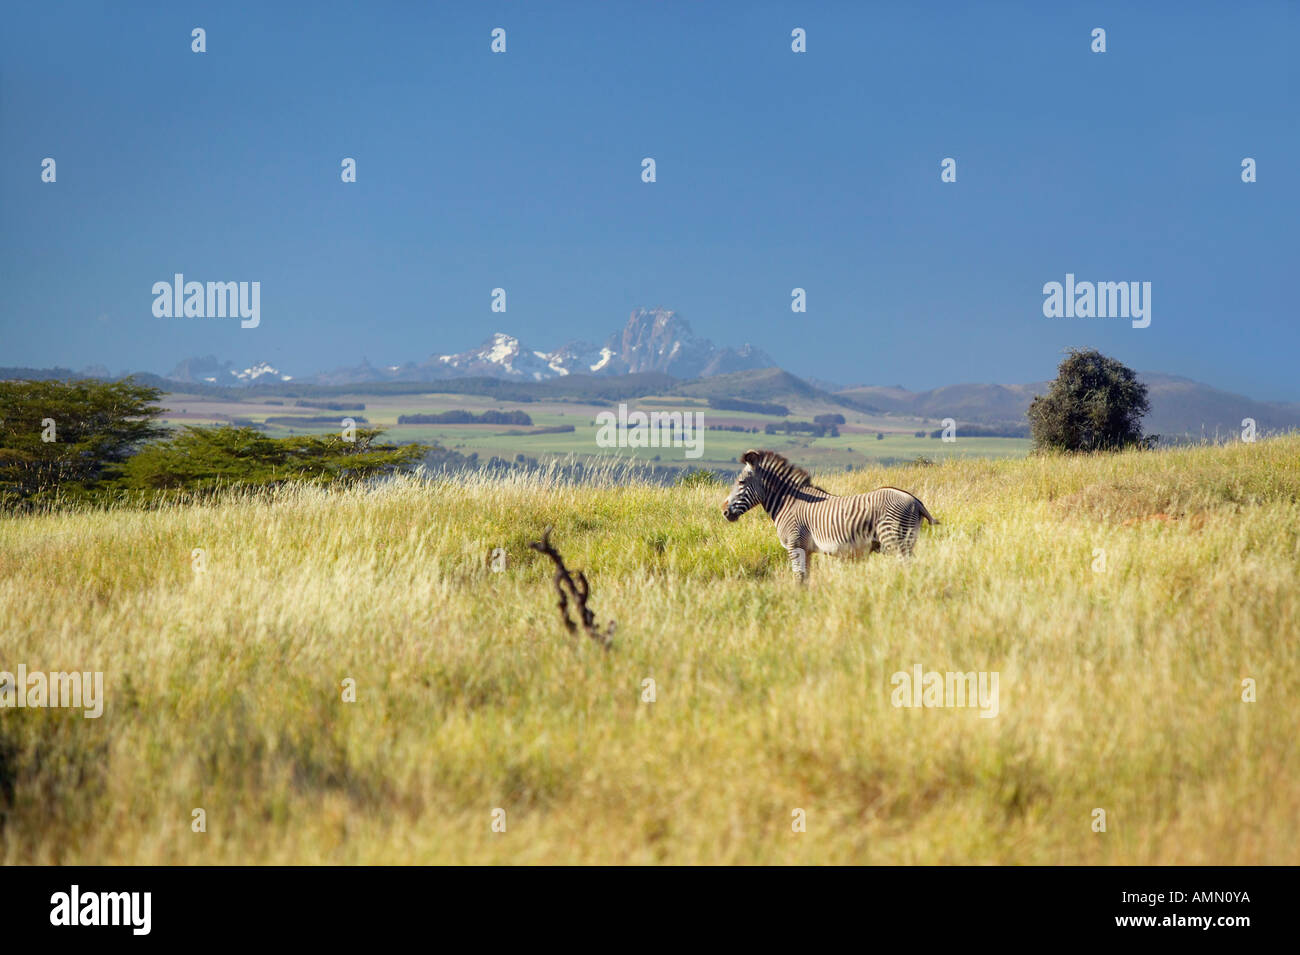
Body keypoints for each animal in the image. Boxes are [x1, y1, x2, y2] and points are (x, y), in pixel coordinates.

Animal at [722, 449, 939, 579]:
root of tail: (915, 501)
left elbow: (799, 578)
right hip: (905, 542)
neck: (788, 503)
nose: (724, 512)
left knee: (907, 568)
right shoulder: (806, 549)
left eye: (741, 483)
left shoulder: (794, 544)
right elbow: (806, 578)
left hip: (896, 541)